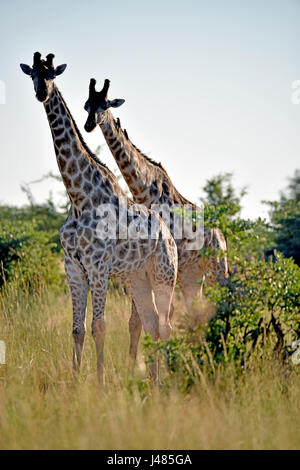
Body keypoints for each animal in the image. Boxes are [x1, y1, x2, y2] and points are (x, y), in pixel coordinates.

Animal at [19, 53, 178, 384]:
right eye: (32, 75)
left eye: (51, 74)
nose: (42, 93)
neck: (78, 198)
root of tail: (170, 237)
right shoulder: (73, 266)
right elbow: (77, 329)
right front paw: (75, 382)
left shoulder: (98, 265)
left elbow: (99, 326)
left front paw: (100, 384)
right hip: (137, 279)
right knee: (153, 325)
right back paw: (153, 382)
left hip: (164, 275)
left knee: (166, 326)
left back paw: (165, 381)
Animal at [83, 78, 229, 364]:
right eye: (87, 105)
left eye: (105, 105)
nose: (89, 125)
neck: (143, 189)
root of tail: (222, 237)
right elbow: (135, 322)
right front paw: (133, 364)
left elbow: (155, 318)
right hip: (192, 275)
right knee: (196, 311)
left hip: (216, 269)